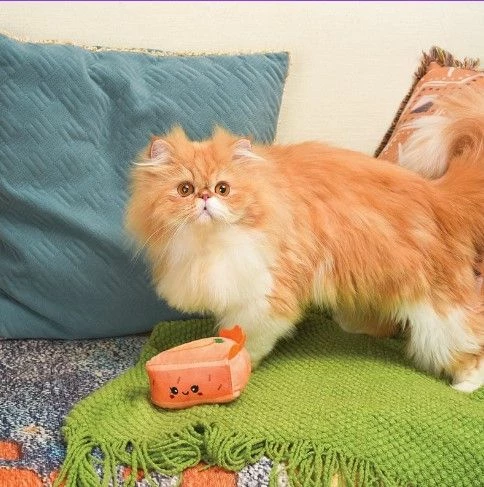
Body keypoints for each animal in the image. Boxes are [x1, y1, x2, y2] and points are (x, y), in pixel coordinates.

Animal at [125, 90, 484, 393]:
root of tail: (438, 193)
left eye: (223, 188)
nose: (204, 197)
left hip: (439, 313)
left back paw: (465, 385)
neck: (211, 244)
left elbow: (250, 338)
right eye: (184, 189)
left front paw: (241, 363)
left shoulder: (268, 295)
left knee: (470, 340)